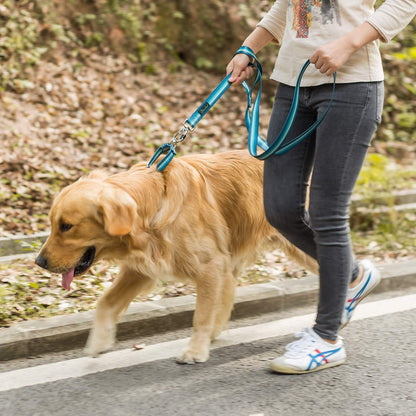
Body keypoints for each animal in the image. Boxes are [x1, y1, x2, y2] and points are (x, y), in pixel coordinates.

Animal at [36, 150, 316, 364]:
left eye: (66, 226)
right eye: (52, 223)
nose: (39, 262)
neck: (152, 207)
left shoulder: (210, 265)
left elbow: (201, 315)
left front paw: (195, 350)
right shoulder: (140, 270)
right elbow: (106, 302)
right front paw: (99, 341)